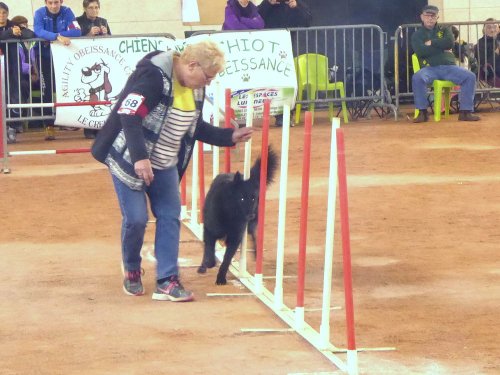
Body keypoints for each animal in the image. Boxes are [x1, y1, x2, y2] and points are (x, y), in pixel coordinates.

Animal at [198, 146, 278, 284]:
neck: (230, 213)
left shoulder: (235, 237)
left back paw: (257, 253)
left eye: (253, 198)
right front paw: (208, 263)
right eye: (241, 198)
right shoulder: (210, 230)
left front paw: (221, 277)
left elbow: (226, 259)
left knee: (253, 235)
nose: (251, 215)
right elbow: (209, 249)